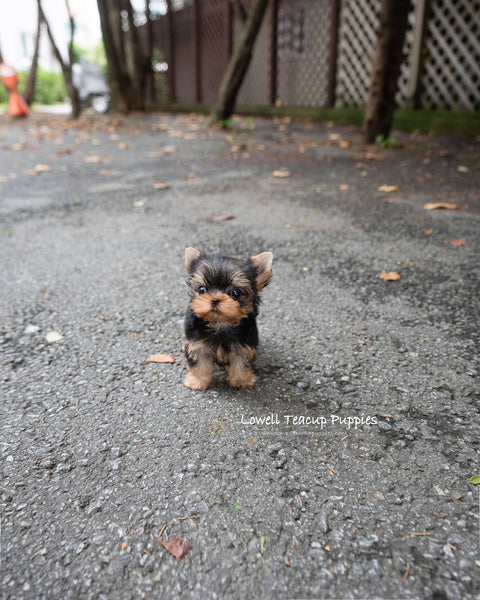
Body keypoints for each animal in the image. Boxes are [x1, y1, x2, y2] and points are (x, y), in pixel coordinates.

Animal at [184, 247, 274, 392]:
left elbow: (241, 361)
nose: (214, 299)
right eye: (202, 289)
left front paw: (242, 380)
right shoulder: (197, 343)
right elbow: (199, 361)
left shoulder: (243, 345)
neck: (220, 323)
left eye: (235, 293)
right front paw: (196, 381)